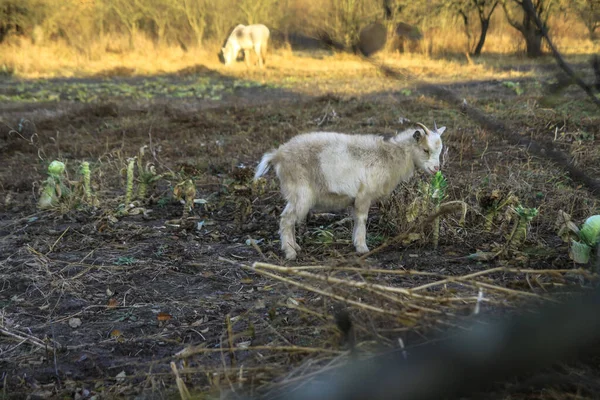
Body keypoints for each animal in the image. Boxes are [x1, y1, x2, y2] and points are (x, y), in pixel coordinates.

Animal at [253, 122, 446, 260]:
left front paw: (356, 243)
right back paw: (290, 253)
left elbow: (356, 220)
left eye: (439, 151)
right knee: (287, 219)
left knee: (289, 219)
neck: (389, 156)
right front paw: (362, 248)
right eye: (425, 150)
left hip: (295, 195)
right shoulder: (364, 195)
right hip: (301, 193)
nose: (436, 169)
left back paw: (295, 247)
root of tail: (278, 155)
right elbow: (362, 219)